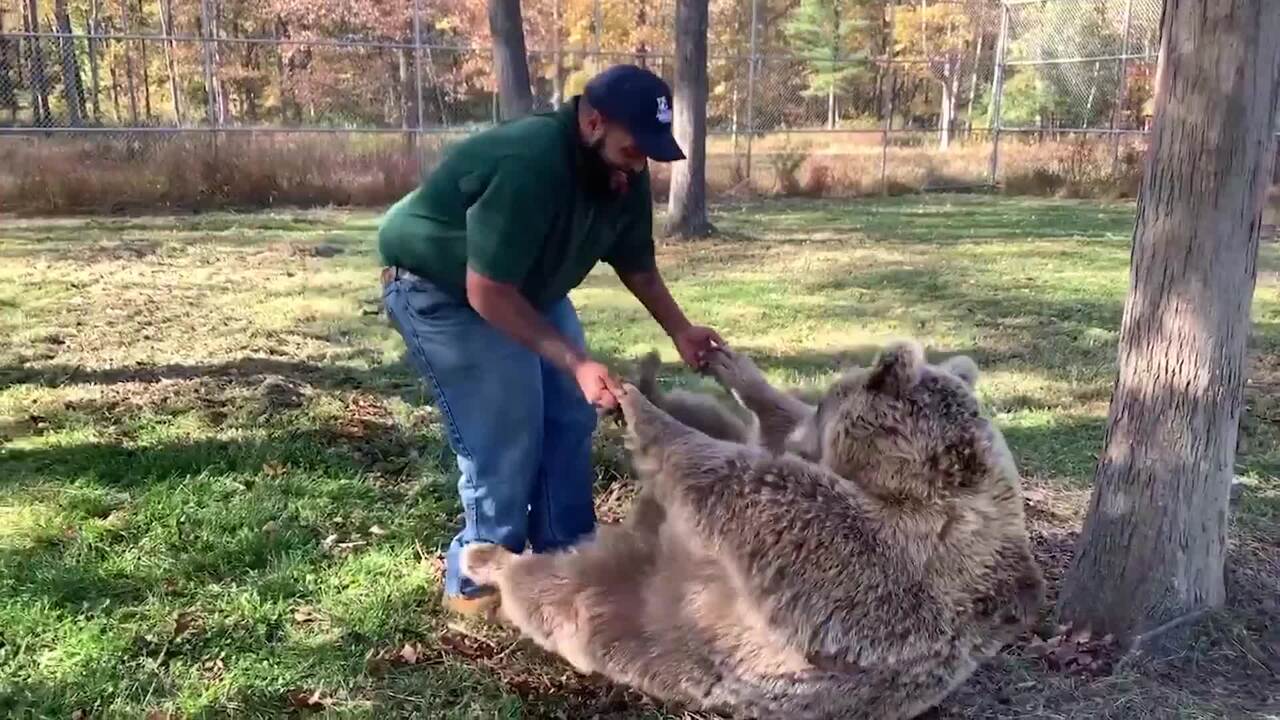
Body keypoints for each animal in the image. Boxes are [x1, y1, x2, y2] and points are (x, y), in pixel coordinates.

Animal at [465, 338, 1044, 712]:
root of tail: (642, 535)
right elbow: (770, 430)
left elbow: (743, 485)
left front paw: (636, 403)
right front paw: (728, 363)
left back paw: (489, 561)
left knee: (555, 595)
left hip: (641, 623)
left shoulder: (893, 558)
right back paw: (654, 376)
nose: (819, 407)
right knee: (711, 419)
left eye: (830, 398)